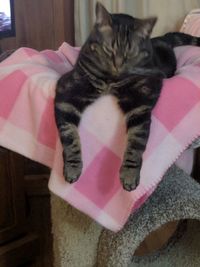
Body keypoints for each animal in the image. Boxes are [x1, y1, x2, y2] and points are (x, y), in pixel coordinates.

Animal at [54, 1, 200, 191]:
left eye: (130, 54)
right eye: (108, 50)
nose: (118, 65)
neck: (111, 81)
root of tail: (159, 38)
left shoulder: (141, 102)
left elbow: (136, 143)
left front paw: (129, 175)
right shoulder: (68, 90)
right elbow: (69, 136)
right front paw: (72, 168)